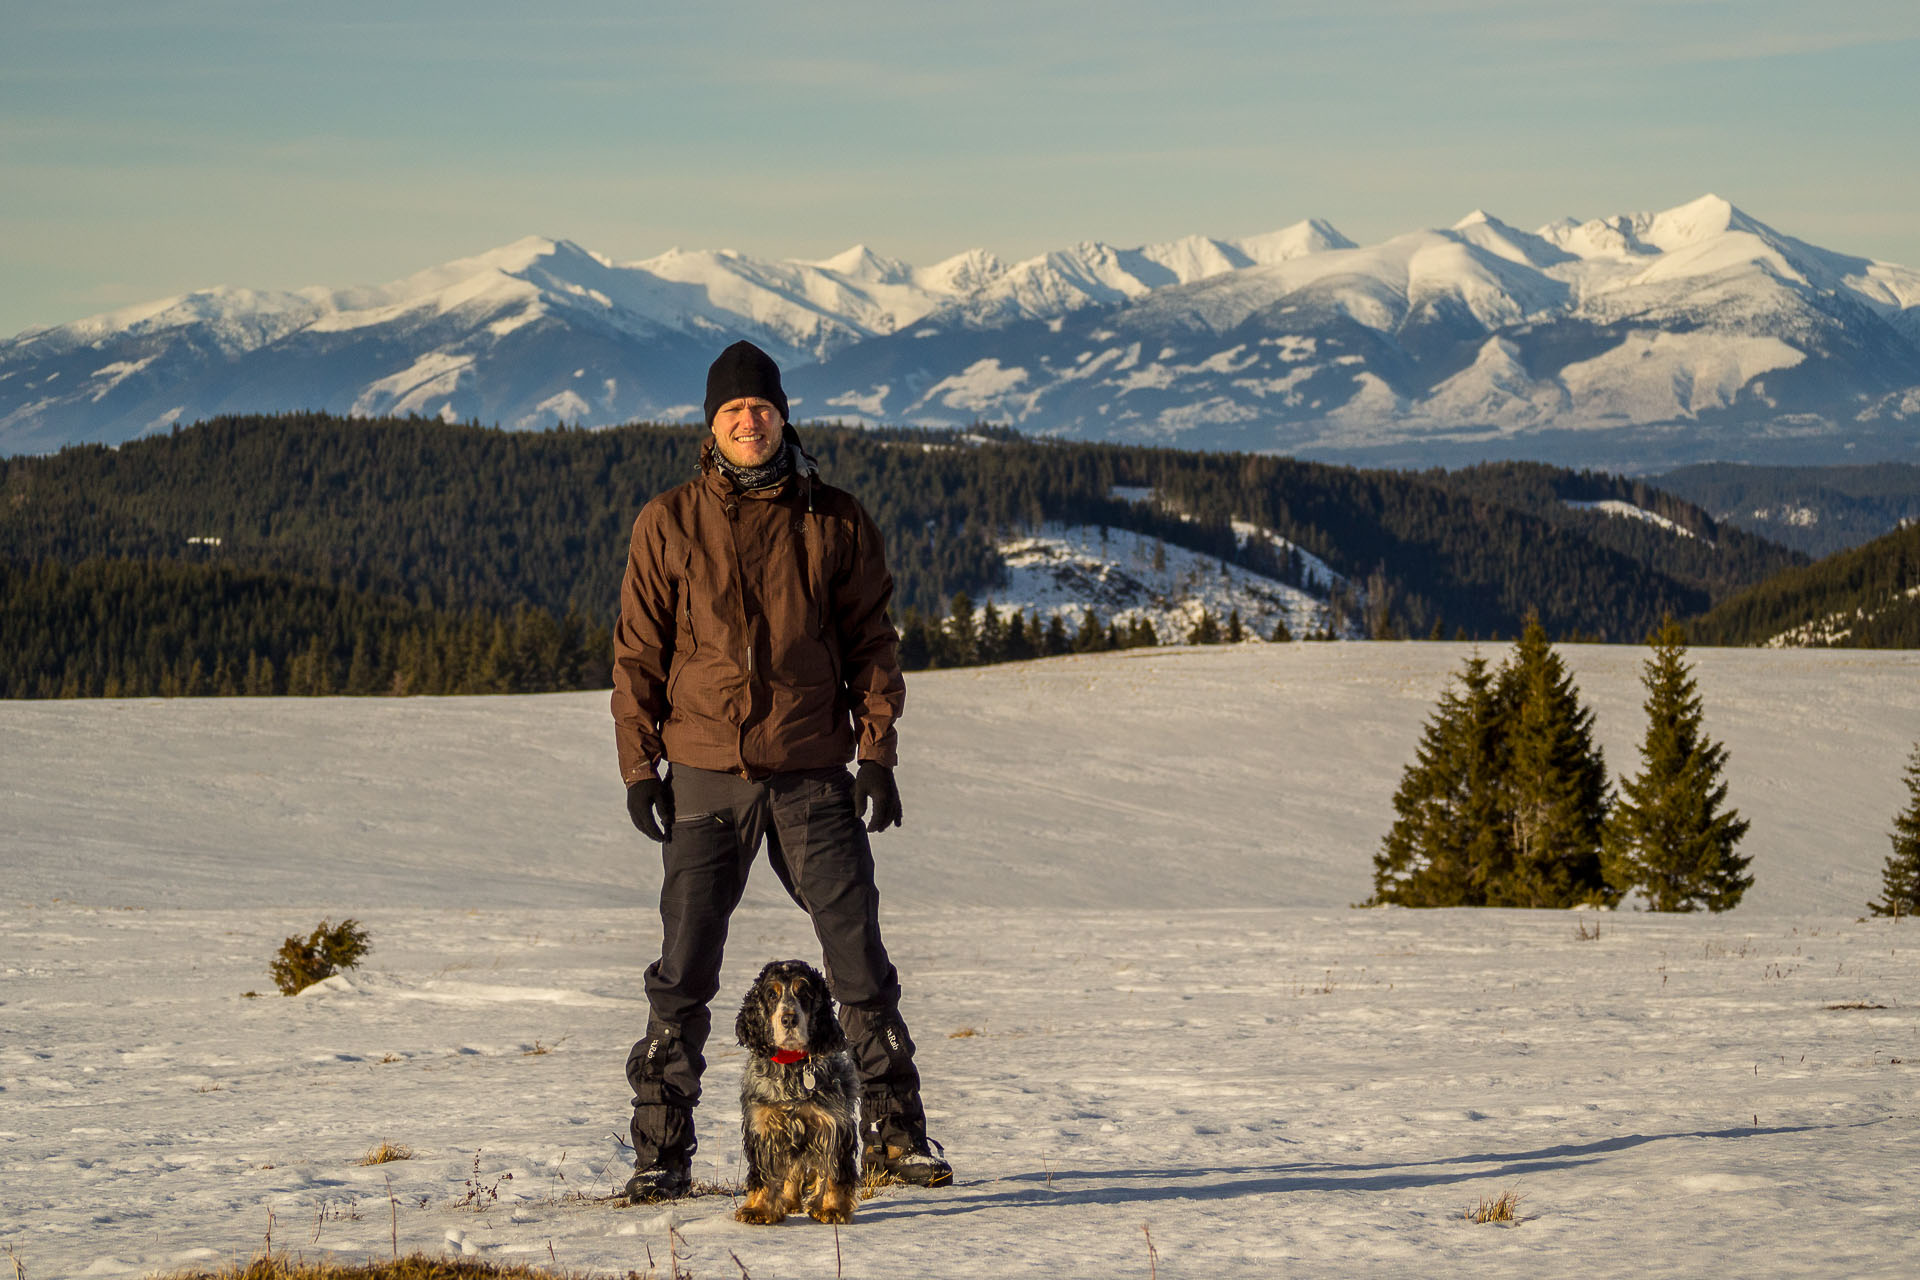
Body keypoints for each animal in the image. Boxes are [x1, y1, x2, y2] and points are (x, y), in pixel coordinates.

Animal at [729, 959, 860, 1220]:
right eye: (771, 994)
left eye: (804, 993)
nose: (789, 1019)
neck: (792, 1066)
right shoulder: (764, 1124)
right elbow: (765, 1173)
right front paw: (758, 1209)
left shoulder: (832, 1123)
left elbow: (833, 1170)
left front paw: (831, 1208)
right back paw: (789, 1201)